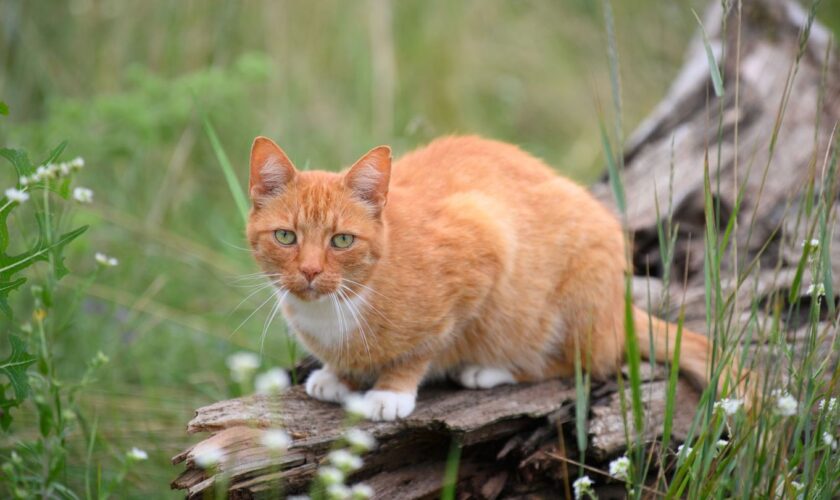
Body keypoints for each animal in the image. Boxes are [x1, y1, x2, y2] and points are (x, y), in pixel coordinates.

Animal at [244, 135, 720, 420]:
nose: (310, 271)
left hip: (576, 298)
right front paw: (339, 375)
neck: (337, 307)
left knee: (583, 362)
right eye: (286, 236)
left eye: (342, 240)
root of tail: (616, 308)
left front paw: (392, 390)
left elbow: (426, 346)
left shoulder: (484, 240)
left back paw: (492, 370)